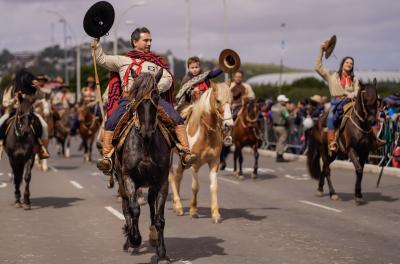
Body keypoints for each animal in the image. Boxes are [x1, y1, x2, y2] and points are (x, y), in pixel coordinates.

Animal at [113, 70, 171, 264]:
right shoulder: (129, 178)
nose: (146, 131)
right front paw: (135, 238)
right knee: (126, 207)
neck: (145, 144)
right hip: (121, 181)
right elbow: (134, 209)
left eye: (156, 96)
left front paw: (162, 252)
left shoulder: (162, 181)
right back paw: (128, 241)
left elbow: (160, 218)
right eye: (136, 96)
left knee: (151, 202)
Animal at [170, 82, 234, 223]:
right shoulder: (195, 164)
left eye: (231, 101)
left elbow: (214, 187)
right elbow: (195, 187)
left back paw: (176, 206)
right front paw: (193, 210)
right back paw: (178, 205)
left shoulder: (214, 163)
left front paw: (216, 214)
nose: (229, 125)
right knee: (171, 177)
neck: (205, 133)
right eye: (218, 100)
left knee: (178, 176)